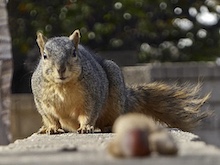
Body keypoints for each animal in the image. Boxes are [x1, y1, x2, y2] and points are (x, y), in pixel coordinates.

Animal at [31, 29, 211, 134]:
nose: (61, 69)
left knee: (112, 119)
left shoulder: (93, 96)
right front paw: (52, 128)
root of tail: (126, 98)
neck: (63, 85)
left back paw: (109, 126)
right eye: (44, 56)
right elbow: (50, 117)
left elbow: (89, 113)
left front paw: (86, 127)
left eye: (74, 53)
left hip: (116, 92)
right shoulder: (42, 102)